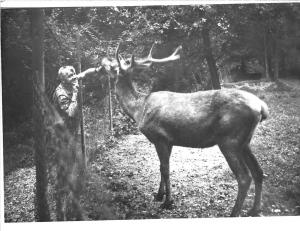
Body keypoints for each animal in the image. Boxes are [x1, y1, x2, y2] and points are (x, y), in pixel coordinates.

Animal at [102, 42, 268, 217]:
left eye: (113, 66)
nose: (103, 62)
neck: (138, 110)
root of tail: (261, 107)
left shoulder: (160, 138)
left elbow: (165, 169)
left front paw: (167, 202)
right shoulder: (168, 142)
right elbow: (161, 168)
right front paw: (159, 195)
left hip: (229, 139)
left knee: (244, 177)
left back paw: (234, 213)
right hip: (244, 142)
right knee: (258, 172)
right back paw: (254, 209)